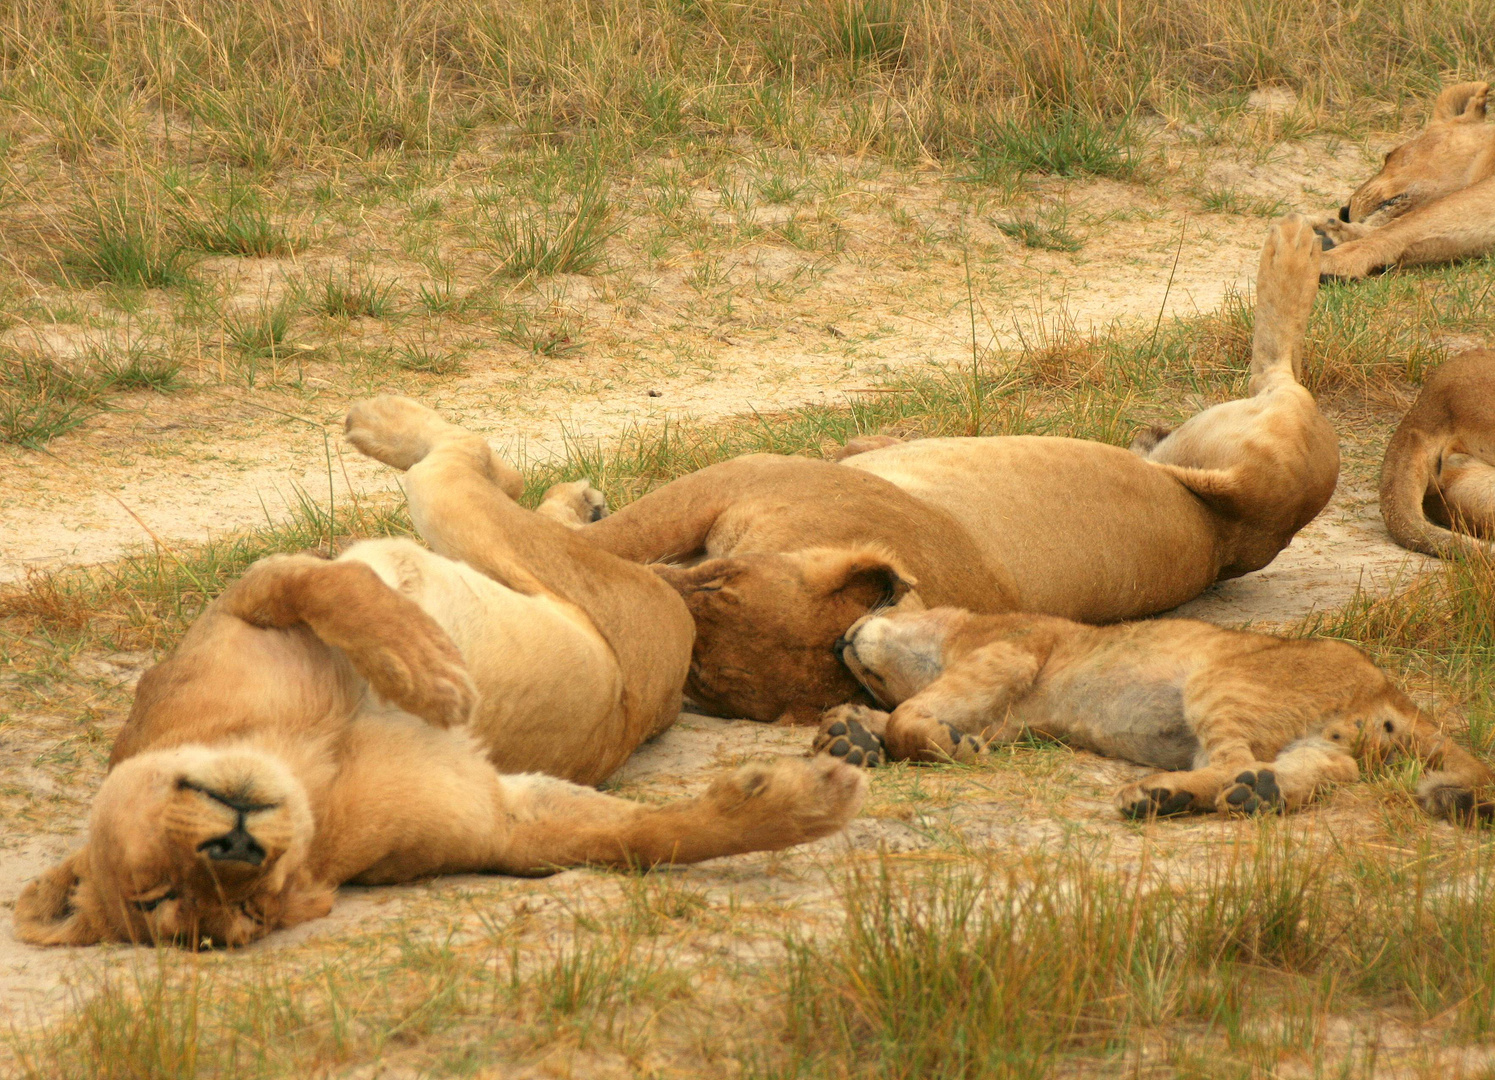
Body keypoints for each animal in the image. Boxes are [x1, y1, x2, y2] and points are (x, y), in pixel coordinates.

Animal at [14, 391, 867, 945]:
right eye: (184, 904)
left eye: (156, 887)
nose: (236, 849)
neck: (302, 766)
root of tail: (674, 616)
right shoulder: (495, 822)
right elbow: (648, 838)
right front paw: (806, 800)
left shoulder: (242, 600)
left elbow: (332, 588)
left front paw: (427, 672)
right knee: (470, 471)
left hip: (482, 532)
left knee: (464, 459)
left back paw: (389, 425)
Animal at [565, 215, 1339, 723]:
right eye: (697, 666)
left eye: (716, 592)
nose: (663, 587)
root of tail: (1224, 535)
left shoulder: (735, 476)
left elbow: (610, 539)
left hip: (1282, 461)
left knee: (1281, 372)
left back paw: (1299, 248)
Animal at [819, 601, 1495, 819]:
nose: (837, 641)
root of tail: (1386, 686)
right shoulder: (1003, 718)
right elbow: (906, 717)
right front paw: (845, 735)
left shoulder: (1011, 653)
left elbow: (908, 720)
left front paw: (931, 742)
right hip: (1315, 739)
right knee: (1327, 770)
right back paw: (1248, 795)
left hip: (1220, 681)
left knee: (1230, 760)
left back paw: (1154, 795)